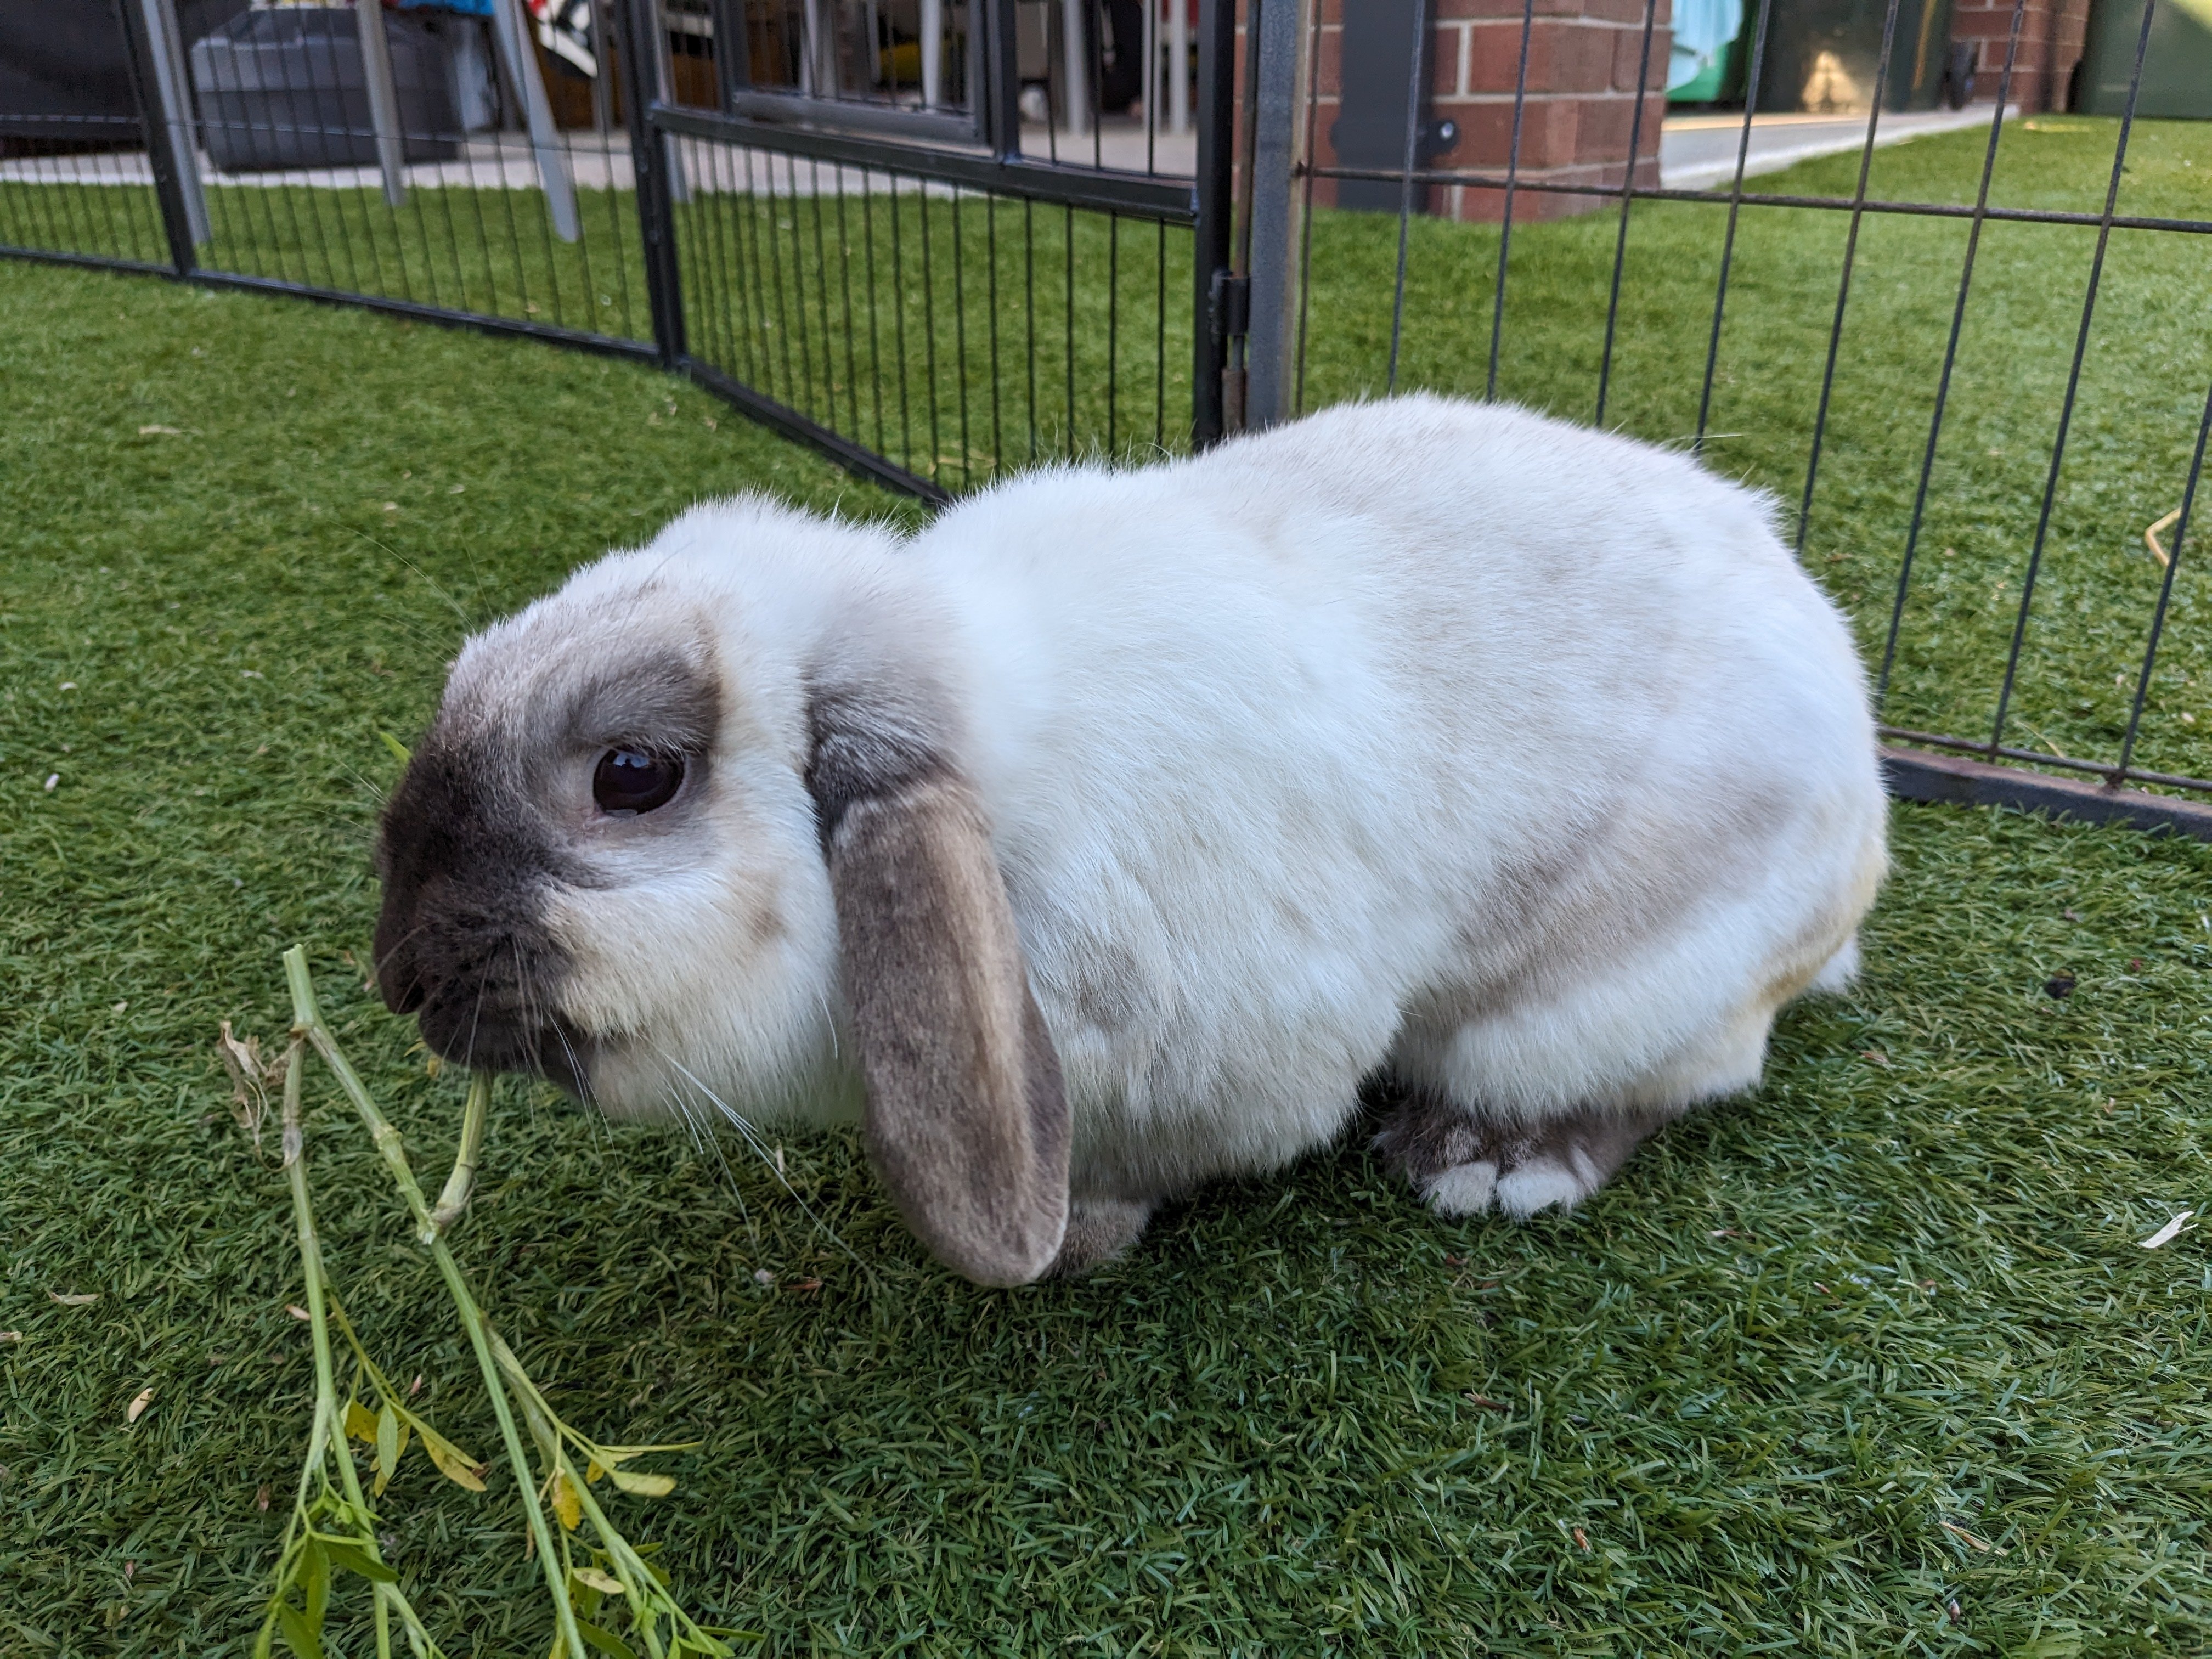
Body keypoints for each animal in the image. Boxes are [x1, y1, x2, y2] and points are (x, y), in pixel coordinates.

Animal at [372, 393, 1888, 1287]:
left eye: (634, 775)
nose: (394, 975)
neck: (997, 802)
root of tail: (1863, 827)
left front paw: (1079, 1242)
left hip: (1604, 998)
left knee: (1683, 1075)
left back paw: (1490, 1164)